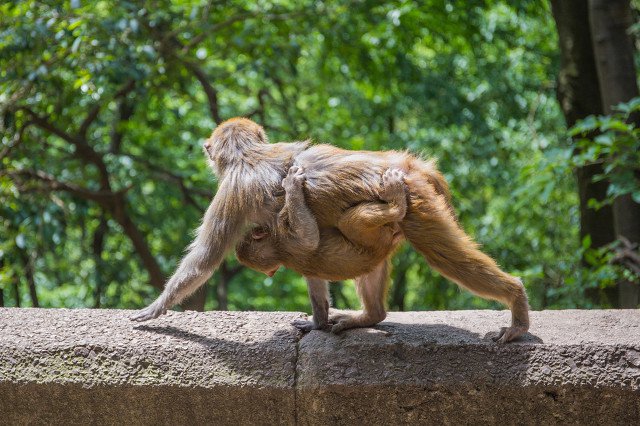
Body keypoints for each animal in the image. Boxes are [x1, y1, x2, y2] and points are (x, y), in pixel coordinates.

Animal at [238, 165, 408, 332]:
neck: (276, 249)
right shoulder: (288, 242)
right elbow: (309, 239)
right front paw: (292, 187)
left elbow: (316, 282)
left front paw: (316, 324)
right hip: (374, 240)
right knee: (348, 222)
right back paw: (397, 205)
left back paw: (371, 316)